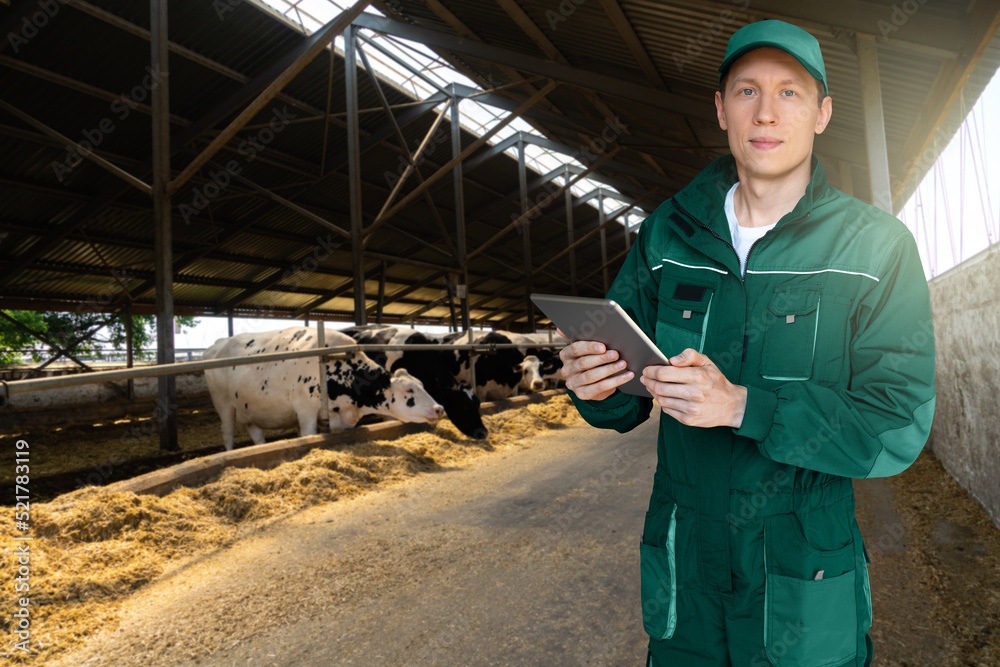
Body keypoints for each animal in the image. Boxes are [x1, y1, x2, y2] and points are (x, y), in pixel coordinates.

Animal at [203, 328, 442, 452]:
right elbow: (308, 436)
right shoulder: (305, 411)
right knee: (227, 434)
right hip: (224, 406)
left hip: (250, 413)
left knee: (257, 437)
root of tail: (216, 345)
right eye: (409, 390)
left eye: (421, 384)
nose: (439, 408)